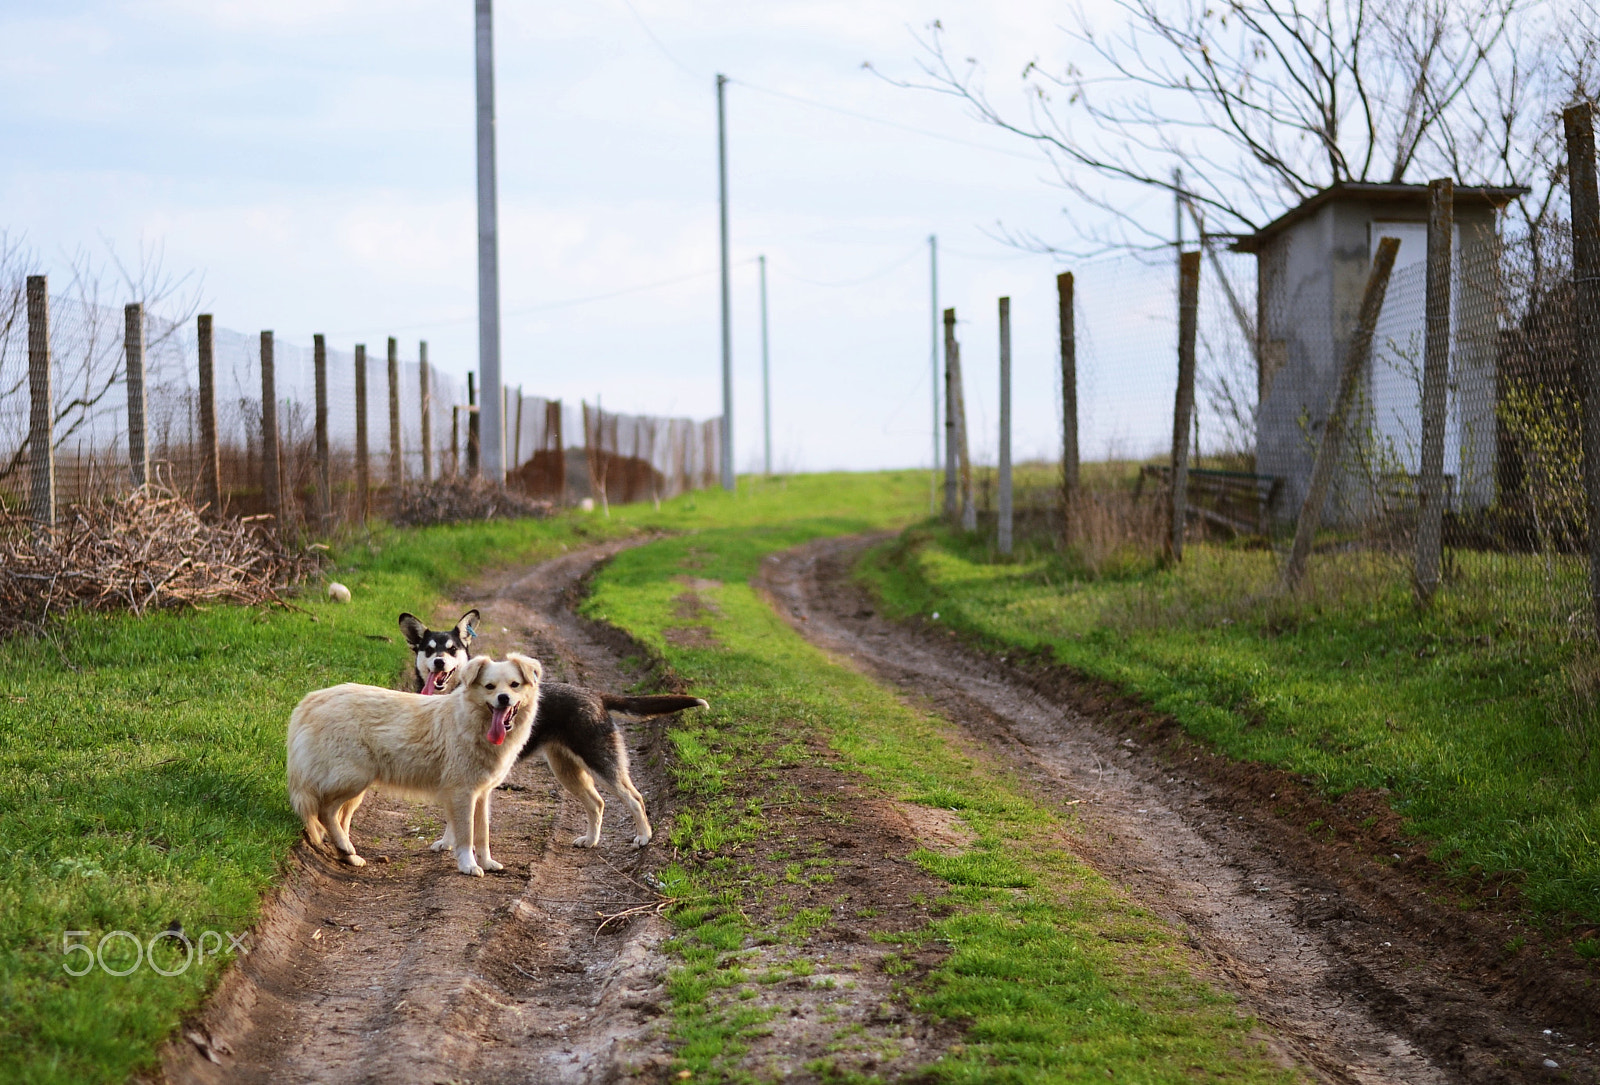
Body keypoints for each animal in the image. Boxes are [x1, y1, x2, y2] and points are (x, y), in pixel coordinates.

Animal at [284, 656, 540, 876]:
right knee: (326, 811)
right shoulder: (462, 792)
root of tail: (309, 702)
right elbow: (466, 834)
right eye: (489, 687)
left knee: (338, 818)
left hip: (355, 789)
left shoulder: (481, 794)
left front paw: (487, 862)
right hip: (354, 779)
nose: (503, 698)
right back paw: (346, 847)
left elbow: (482, 833)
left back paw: (348, 854)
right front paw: (468, 865)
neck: (472, 721)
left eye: (514, 685)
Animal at [395, 611, 707, 851]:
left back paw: (644, 837)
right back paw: (591, 840)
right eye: (429, 649)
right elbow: (453, 816)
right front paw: (448, 843)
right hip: (566, 769)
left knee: (635, 798)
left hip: (602, 762)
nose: (439, 662)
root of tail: (595, 695)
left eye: (452, 649)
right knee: (597, 803)